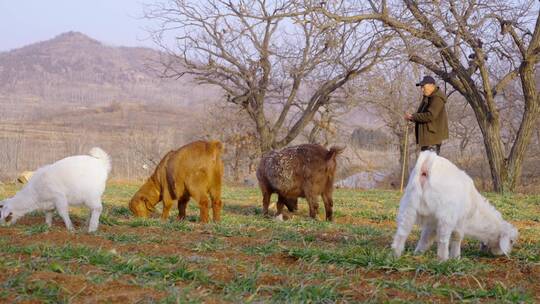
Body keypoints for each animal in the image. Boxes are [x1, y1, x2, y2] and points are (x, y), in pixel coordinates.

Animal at [392, 152, 520, 262]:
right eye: (511, 241)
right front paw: (456, 257)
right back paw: (443, 259)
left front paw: (418, 252)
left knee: (402, 232)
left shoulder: (432, 222)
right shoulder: (460, 220)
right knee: (443, 239)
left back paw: (395, 255)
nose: (505, 255)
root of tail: (427, 164)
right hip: (446, 214)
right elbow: (456, 237)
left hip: (408, 205)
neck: (476, 212)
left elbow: (426, 238)